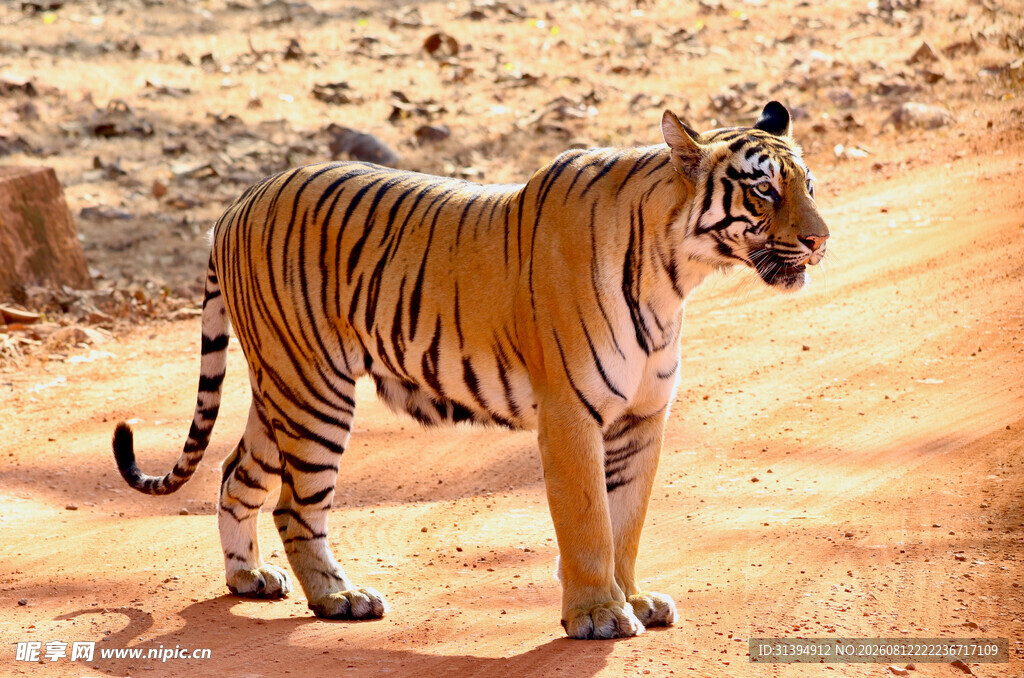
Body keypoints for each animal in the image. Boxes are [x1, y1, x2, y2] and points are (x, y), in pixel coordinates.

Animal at [112, 100, 828, 640]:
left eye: (809, 186)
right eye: (764, 189)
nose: (821, 239)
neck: (675, 272)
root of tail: (236, 204)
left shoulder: (643, 418)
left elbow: (627, 520)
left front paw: (634, 598)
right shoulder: (572, 416)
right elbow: (590, 522)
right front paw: (598, 614)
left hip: (282, 386)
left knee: (236, 473)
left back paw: (249, 578)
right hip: (313, 391)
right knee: (296, 504)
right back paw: (339, 598)